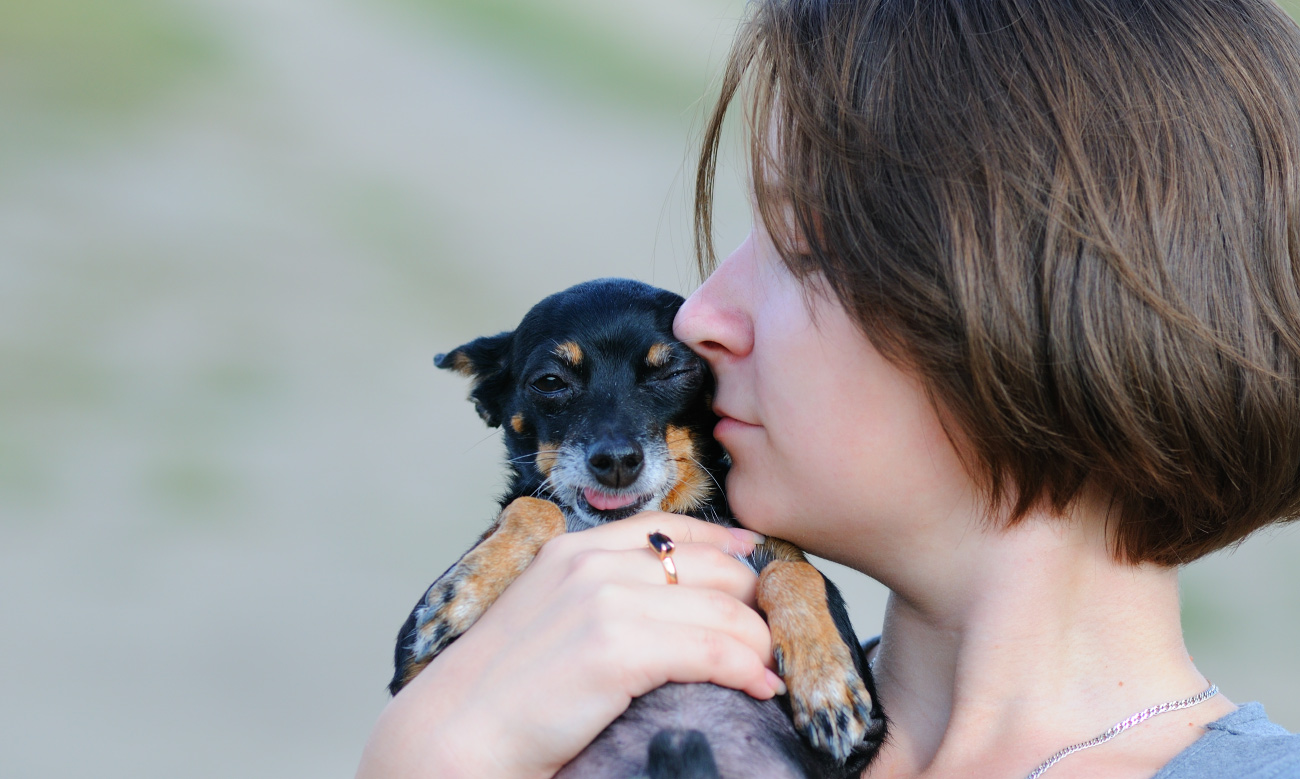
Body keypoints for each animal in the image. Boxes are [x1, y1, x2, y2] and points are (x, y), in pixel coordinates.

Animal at [390, 277, 889, 775]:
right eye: (550, 382)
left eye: (673, 373)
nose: (615, 461)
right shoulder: (411, 668)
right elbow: (536, 507)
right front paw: (467, 589)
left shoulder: (867, 738)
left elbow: (792, 568)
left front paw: (824, 677)